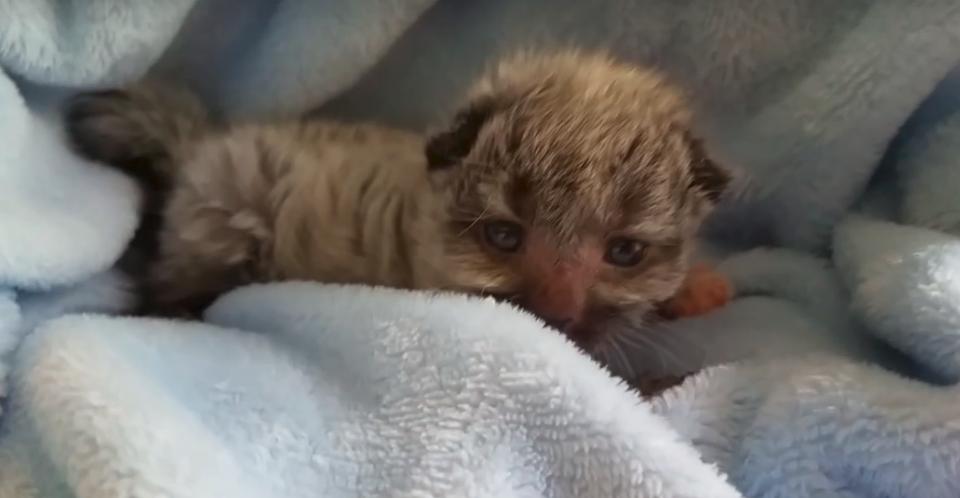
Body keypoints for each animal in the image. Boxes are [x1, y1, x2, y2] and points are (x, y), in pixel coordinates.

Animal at [65, 50, 728, 352]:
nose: (557, 314)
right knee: (166, 285)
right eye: (505, 237)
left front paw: (699, 286)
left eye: (625, 252)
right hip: (224, 223)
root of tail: (201, 145)